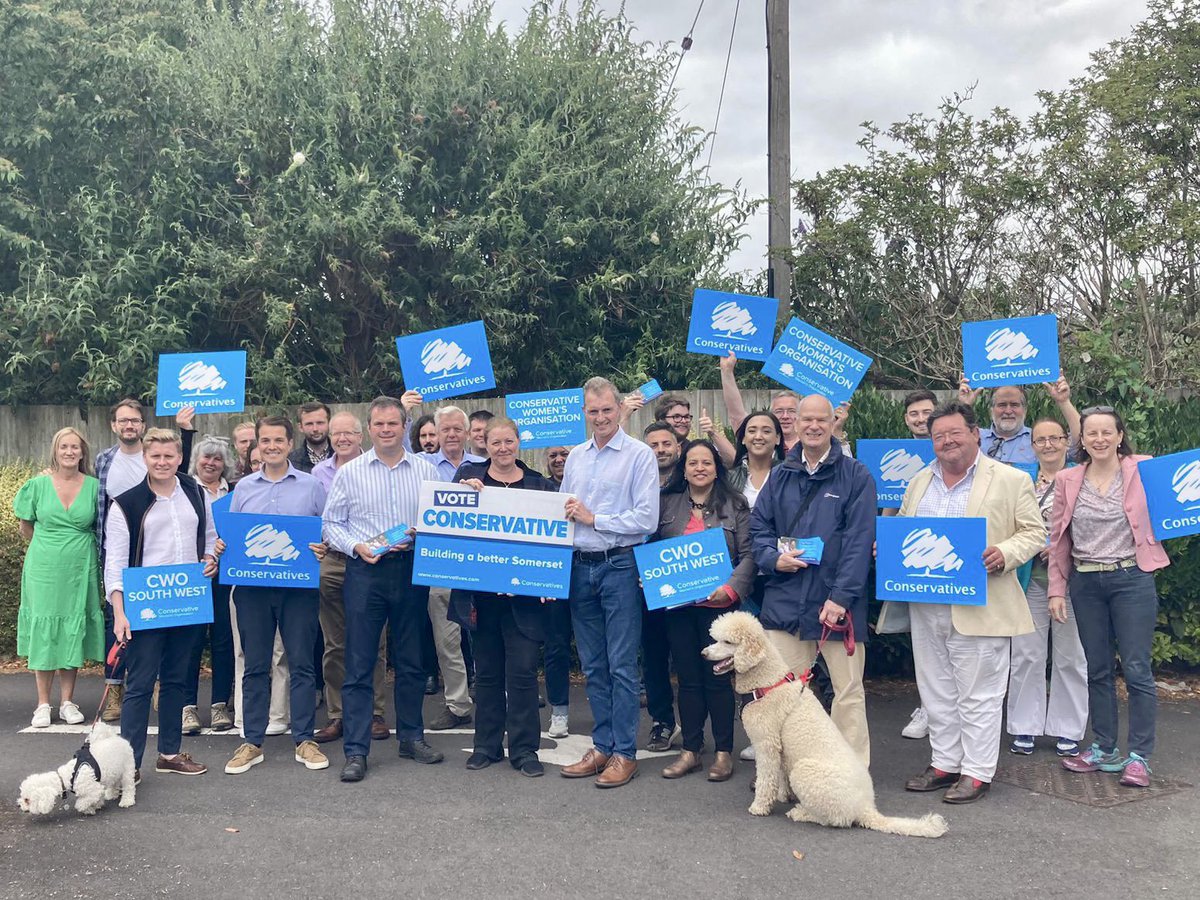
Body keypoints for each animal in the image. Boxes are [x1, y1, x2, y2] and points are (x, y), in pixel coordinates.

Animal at [700, 614, 945, 840]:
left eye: (728, 642)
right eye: (716, 638)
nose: (703, 653)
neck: (767, 682)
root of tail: (866, 807)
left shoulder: (766, 744)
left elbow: (766, 779)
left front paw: (759, 807)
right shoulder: (780, 748)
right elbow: (780, 775)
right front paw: (783, 795)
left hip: (805, 771)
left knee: (837, 819)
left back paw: (801, 813)